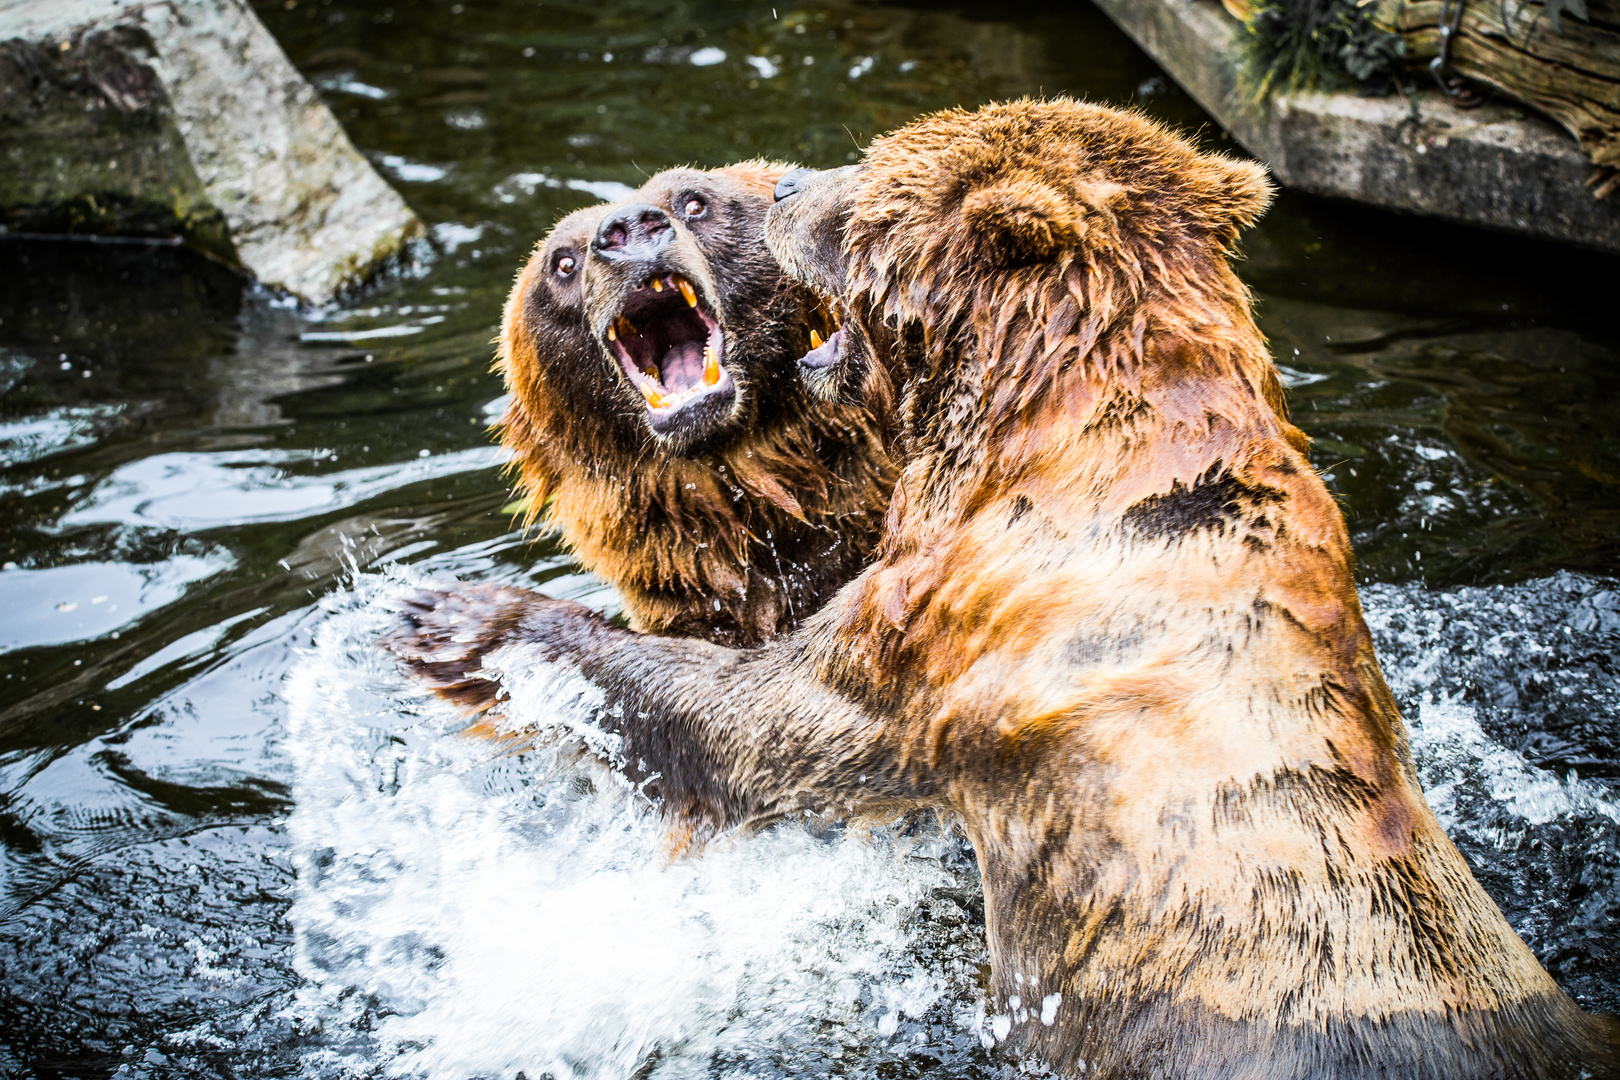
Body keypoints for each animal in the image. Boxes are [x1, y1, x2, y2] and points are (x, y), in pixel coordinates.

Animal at [385, 103, 1613, 1080]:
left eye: (695, 198)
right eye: (556, 263)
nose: (622, 230)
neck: (1046, 433)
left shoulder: (941, 634)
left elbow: (762, 725)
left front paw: (455, 619)